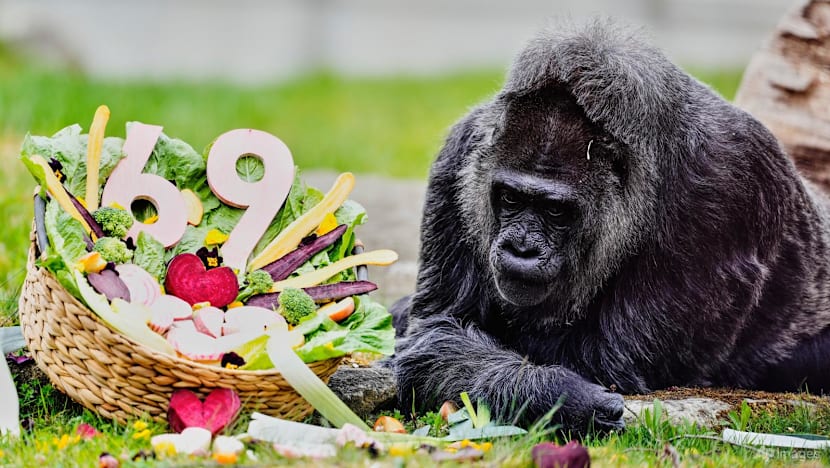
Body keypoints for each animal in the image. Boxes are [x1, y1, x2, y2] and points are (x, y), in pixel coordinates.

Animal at [390, 20, 830, 433]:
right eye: (511, 199)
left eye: (555, 211)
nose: (522, 249)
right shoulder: (460, 154)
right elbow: (439, 329)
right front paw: (554, 393)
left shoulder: (729, 184)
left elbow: (604, 359)